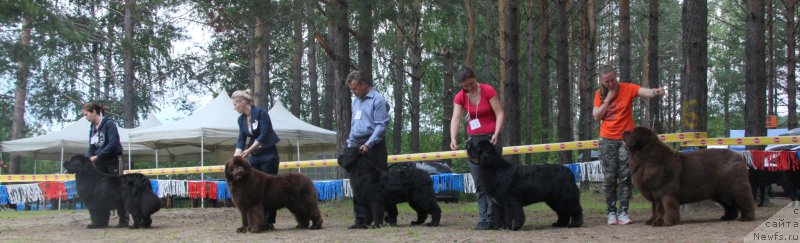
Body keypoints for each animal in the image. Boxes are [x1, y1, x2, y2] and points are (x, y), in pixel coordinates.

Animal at [624, 126, 756, 227]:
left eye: (632, 132)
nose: (623, 132)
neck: (645, 158)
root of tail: (739, 156)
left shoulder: (663, 191)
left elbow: (664, 208)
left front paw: (664, 222)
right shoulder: (653, 193)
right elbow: (654, 208)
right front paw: (652, 221)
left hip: (735, 187)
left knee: (745, 200)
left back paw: (746, 217)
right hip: (721, 192)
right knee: (730, 205)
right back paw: (727, 216)